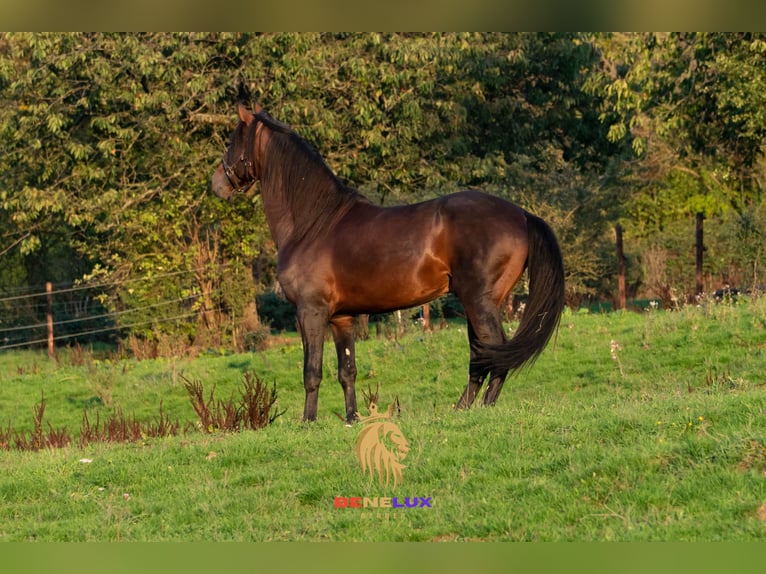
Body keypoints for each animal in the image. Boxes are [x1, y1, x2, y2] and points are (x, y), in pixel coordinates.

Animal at [213, 103, 568, 426]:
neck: (314, 223)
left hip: (479, 302)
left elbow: (311, 371)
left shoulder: (310, 312)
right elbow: (347, 370)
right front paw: (352, 419)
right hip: (479, 304)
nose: (216, 183)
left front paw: (308, 422)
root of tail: (522, 215)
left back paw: (482, 409)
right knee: (482, 355)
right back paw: (463, 408)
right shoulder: (342, 318)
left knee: (494, 351)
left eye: (232, 140)